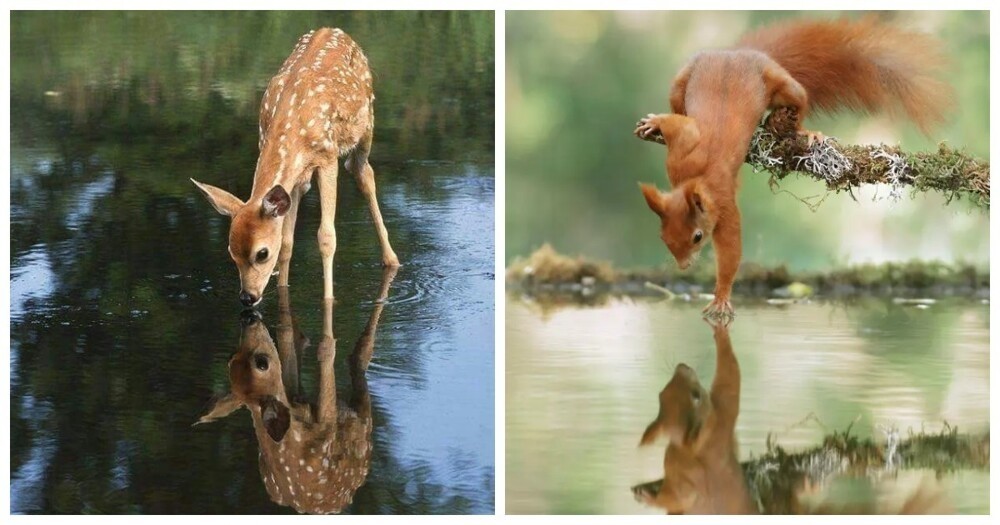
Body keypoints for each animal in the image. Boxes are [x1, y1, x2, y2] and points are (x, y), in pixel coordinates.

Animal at [636, 17, 948, 316]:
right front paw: (655, 122)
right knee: (677, 103)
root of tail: (742, 52)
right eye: (663, 236)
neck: (694, 178)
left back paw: (805, 132)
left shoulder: (723, 204)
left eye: (698, 236)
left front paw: (721, 297)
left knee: (798, 100)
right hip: (683, 80)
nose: (683, 266)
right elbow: (679, 124)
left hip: (782, 84)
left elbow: (731, 251)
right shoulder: (681, 151)